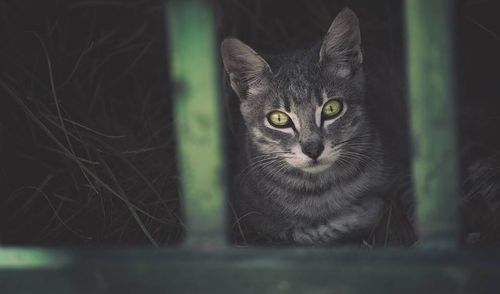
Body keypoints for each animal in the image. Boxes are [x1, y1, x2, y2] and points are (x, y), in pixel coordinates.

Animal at [220, 8, 394, 245]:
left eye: (331, 108)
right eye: (279, 119)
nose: (313, 149)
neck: (321, 189)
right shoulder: (249, 211)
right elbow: (302, 232)